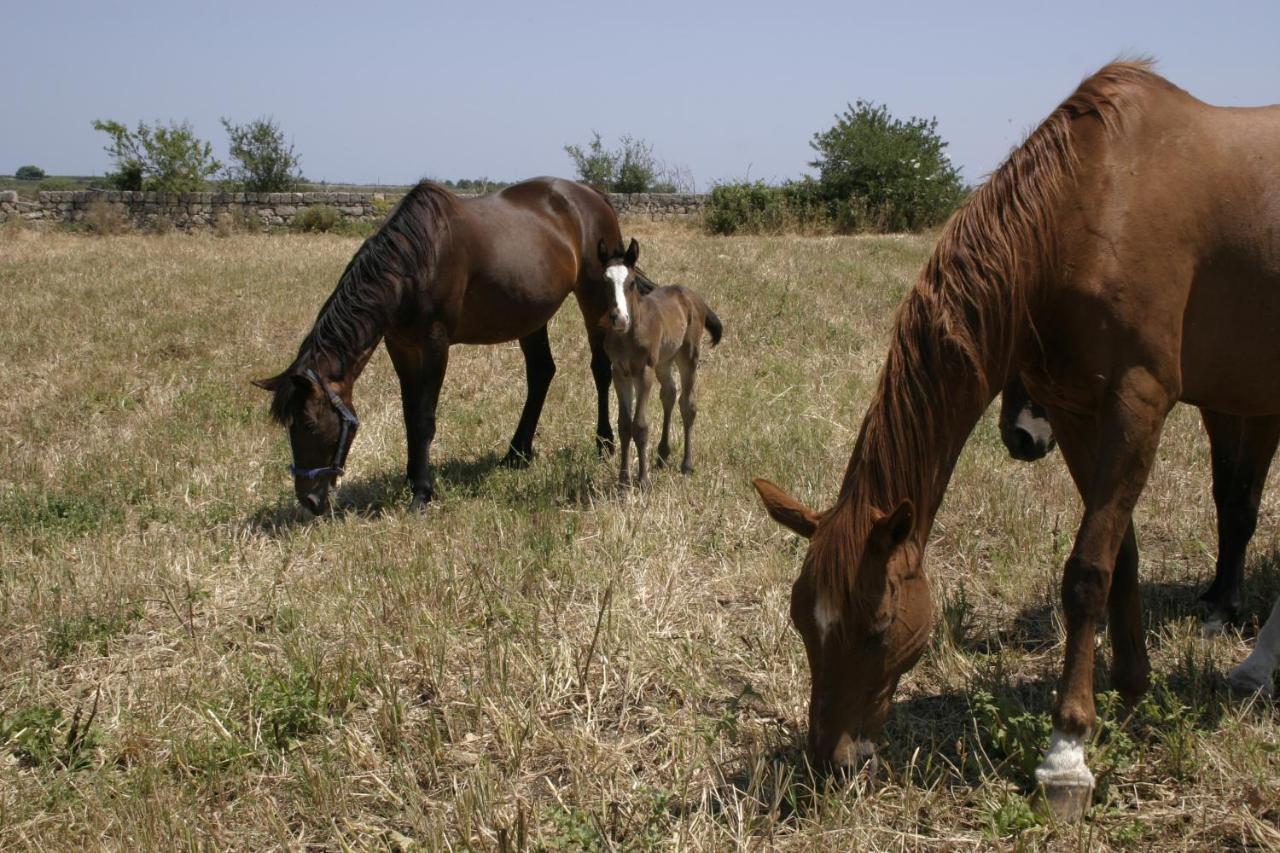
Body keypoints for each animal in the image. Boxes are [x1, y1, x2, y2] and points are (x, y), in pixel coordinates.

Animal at [250, 178, 629, 512]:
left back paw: (604, 443)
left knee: (599, 368)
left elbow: (423, 418)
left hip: (593, 298)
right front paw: (411, 477)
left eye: (311, 425)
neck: (413, 262)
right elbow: (409, 413)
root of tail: (591, 193)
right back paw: (516, 453)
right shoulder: (400, 346)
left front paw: (422, 492)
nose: (309, 500)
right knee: (541, 374)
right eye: (289, 426)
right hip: (530, 316)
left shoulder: (435, 344)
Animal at [596, 236, 721, 484]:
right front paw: (623, 482)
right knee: (669, 394)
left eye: (632, 282)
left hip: (687, 356)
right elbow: (624, 425)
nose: (619, 318)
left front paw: (643, 481)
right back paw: (663, 454)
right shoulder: (620, 373)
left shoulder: (644, 372)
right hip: (663, 361)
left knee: (687, 405)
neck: (629, 334)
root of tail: (691, 295)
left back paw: (686, 465)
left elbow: (640, 426)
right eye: (605, 281)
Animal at [998, 376, 1280, 627]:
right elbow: (1224, 497)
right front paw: (1217, 590)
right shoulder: (1217, 407)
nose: (1018, 437)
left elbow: (1240, 508)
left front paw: (1227, 606)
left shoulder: (1262, 413)